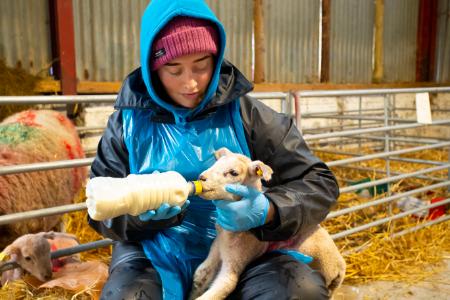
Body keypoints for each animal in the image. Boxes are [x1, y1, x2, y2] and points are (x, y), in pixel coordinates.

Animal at [188, 148, 346, 300]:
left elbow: (226, 285)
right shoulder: (218, 244)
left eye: (234, 173)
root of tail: (341, 267)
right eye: (216, 163)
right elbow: (201, 275)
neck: (229, 233)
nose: (201, 178)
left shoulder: (236, 259)